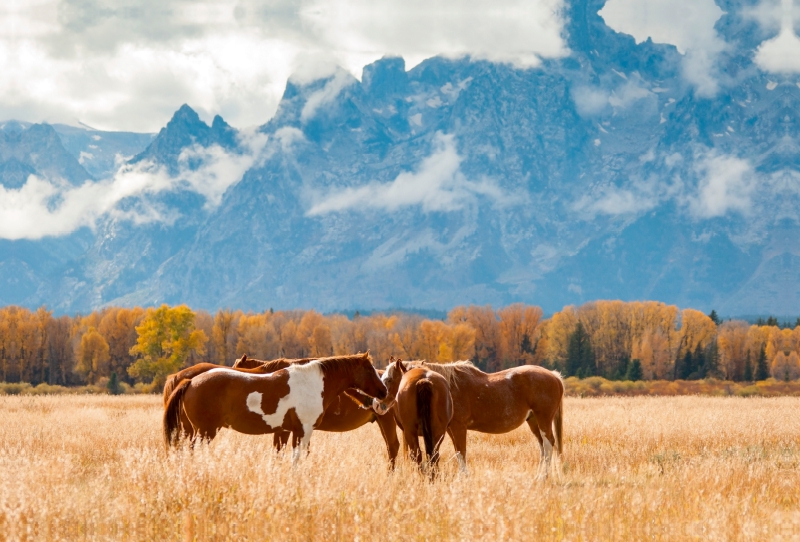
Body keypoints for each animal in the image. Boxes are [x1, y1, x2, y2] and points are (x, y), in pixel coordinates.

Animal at [374, 362, 564, 480]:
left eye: (389, 379)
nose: (376, 405)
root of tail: (554, 376)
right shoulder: (449, 430)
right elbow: (458, 451)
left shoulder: (458, 428)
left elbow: (461, 452)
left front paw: (463, 477)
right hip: (533, 421)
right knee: (542, 446)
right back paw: (539, 475)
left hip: (543, 418)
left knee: (548, 443)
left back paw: (543, 477)